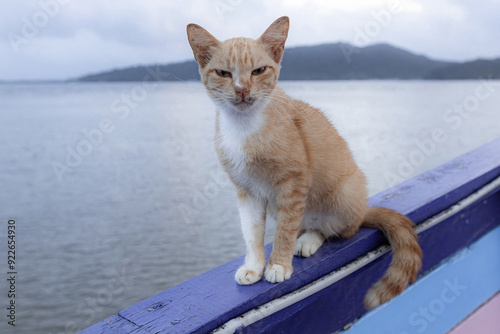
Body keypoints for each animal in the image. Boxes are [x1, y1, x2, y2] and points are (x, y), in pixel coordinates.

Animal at [188, 15, 422, 308]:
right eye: (223, 73)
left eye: (258, 71)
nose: (242, 90)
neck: (244, 128)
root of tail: (363, 208)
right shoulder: (246, 190)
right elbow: (251, 232)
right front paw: (254, 266)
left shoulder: (294, 182)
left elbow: (285, 229)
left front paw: (278, 265)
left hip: (344, 194)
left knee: (335, 228)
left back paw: (309, 239)